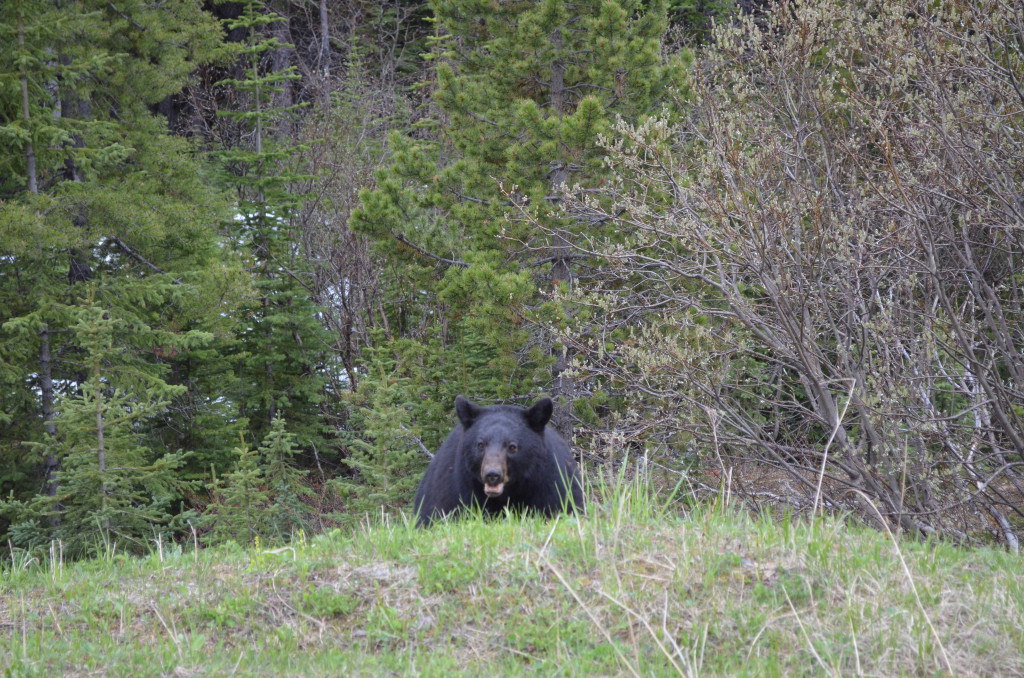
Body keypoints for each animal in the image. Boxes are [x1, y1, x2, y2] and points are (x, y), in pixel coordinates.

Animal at [409, 395, 585, 528]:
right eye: (480, 444)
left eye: (512, 446)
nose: (492, 474)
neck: (506, 494)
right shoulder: (452, 491)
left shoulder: (552, 485)